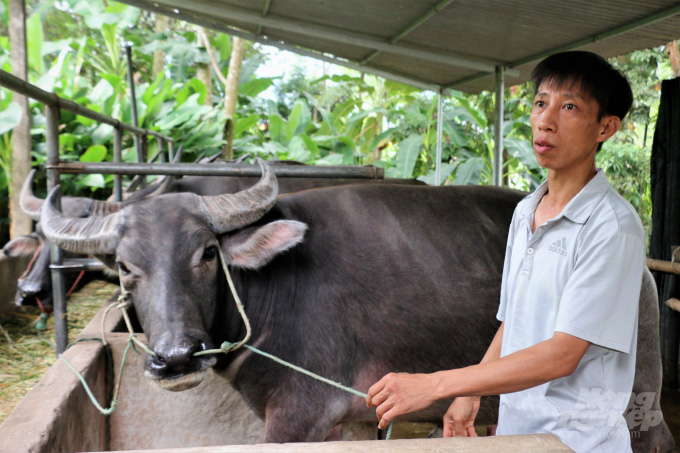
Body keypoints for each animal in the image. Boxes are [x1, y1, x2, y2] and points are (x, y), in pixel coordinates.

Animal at [39, 160, 672, 448]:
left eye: (205, 253)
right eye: (126, 267)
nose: (174, 357)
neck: (272, 294)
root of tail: (640, 264)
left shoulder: (298, 417)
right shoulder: (350, 421)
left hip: (638, 395)